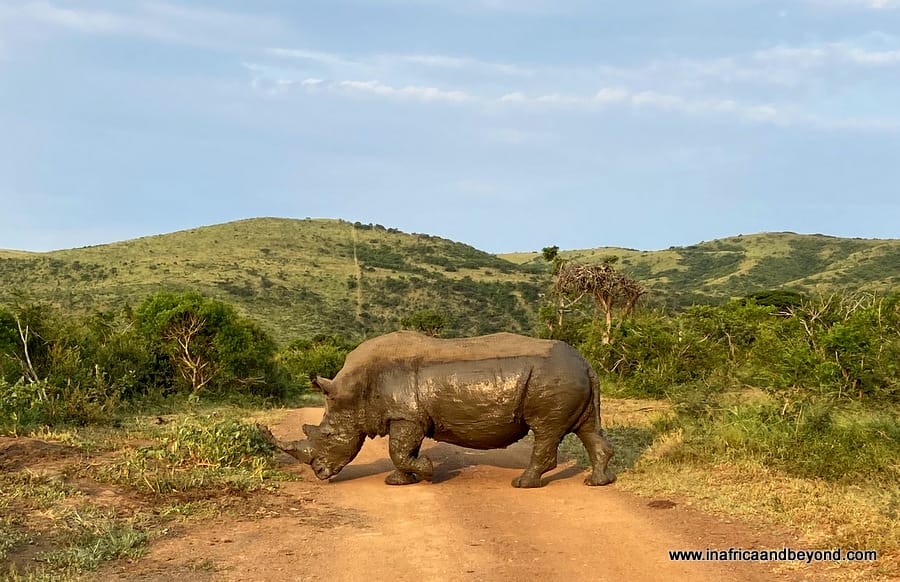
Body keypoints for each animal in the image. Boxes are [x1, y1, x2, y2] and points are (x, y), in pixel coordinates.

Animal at [260, 331, 615, 488]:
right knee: (587, 430)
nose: (319, 474)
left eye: (328, 436)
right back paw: (597, 482)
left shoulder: (406, 415)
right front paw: (399, 481)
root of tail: (586, 362)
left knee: (545, 431)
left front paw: (427, 472)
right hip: (570, 377)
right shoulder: (408, 416)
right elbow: (403, 451)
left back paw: (522, 484)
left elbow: (398, 450)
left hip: (553, 377)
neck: (354, 390)